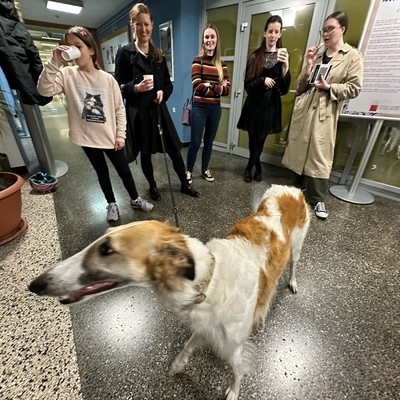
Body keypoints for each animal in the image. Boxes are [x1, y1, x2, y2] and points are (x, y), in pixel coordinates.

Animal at [28, 184, 310, 400]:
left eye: (107, 249)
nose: (35, 285)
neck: (207, 280)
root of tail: (290, 189)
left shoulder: (234, 345)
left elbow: (238, 371)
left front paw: (233, 391)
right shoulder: (204, 323)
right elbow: (188, 345)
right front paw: (178, 365)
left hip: (296, 248)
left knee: (294, 266)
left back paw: (293, 283)